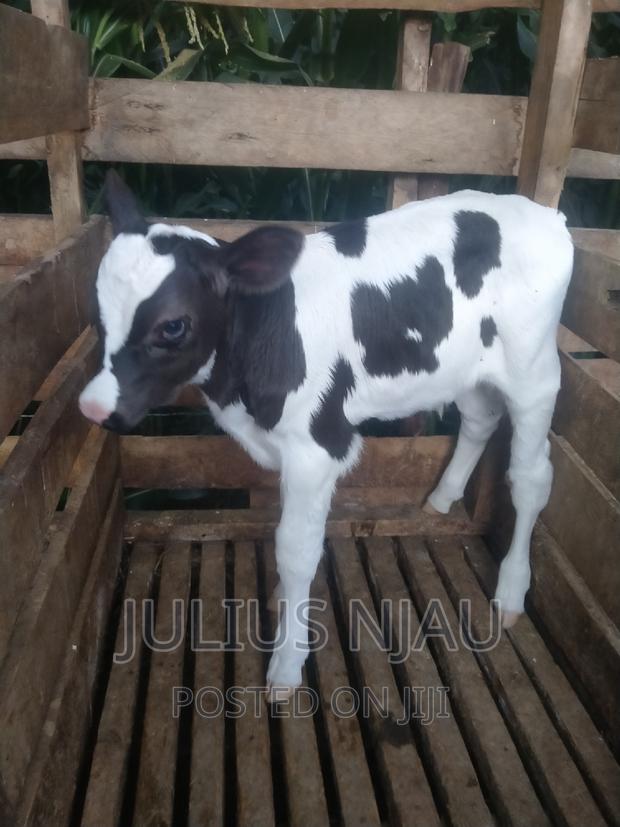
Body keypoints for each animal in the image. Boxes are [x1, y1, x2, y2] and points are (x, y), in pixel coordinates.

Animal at [80, 170, 573, 696]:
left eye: (173, 326)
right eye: (97, 309)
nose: (92, 406)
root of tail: (544, 214)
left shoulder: (316, 446)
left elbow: (296, 550)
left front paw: (286, 664)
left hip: (534, 373)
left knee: (532, 478)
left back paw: (511, 592)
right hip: (467, 368)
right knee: (480, 419)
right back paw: (441, 499)